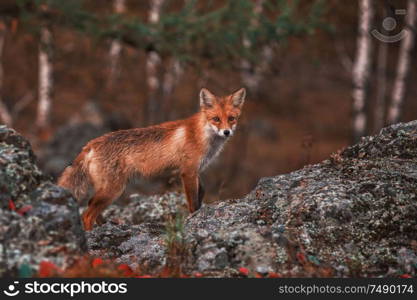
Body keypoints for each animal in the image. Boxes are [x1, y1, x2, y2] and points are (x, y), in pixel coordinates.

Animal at [57, 88, 245, 231]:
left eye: (231, 119)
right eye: (216, 119)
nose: (226, 132)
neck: (202, 135)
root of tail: (91, 144)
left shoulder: (196, 171)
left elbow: (202, 192)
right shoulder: (188, 172)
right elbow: (193, 202)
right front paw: (194, 218)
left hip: (106, 190)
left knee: (91, 206)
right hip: (113, 190)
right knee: (87, 215)